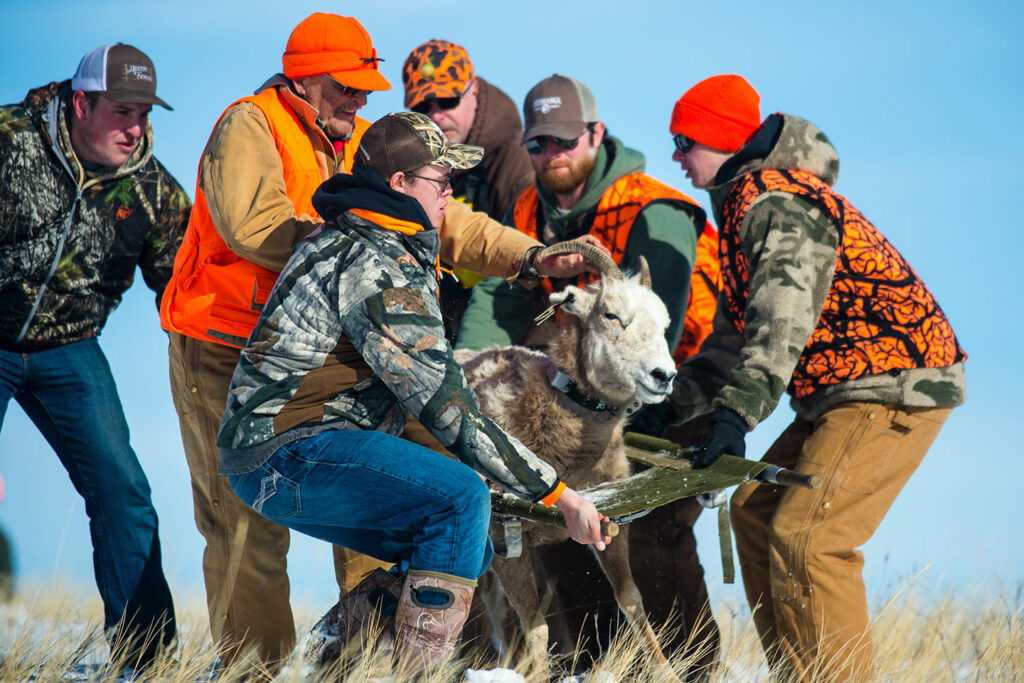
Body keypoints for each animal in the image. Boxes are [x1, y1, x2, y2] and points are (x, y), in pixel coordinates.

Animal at [456, 244, 679, 679]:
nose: (664, 375)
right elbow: (536, 626)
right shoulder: (508, 542)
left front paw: (668, 672)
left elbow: (632, 600)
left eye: (663, 324)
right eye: (610, 315)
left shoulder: (612, 528)